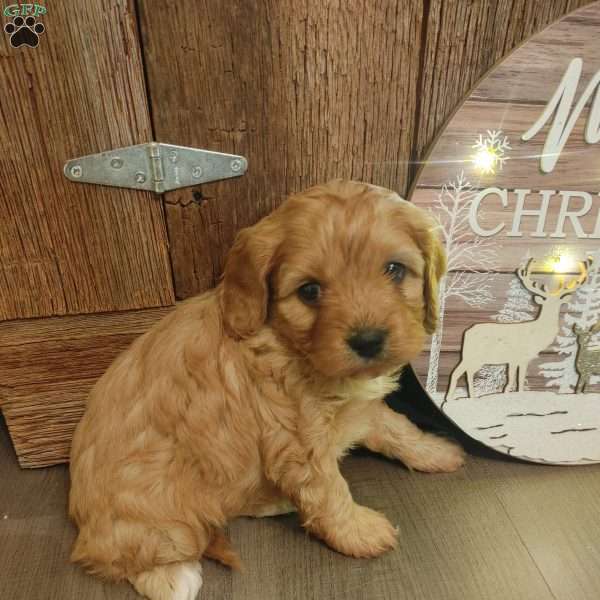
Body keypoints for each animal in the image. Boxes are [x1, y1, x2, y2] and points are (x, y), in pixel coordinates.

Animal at [69, 180, 464, 600]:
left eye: (394, 270)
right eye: (309, 291)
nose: (368, 341)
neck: (289, 344)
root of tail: (81, 522)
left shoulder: (360, 408)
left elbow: (396, 426)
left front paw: (435, 451)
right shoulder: (298, 440)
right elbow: (329, 491)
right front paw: (360, 532)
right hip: (159, 515)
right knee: (134, 555)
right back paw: (172, 577)